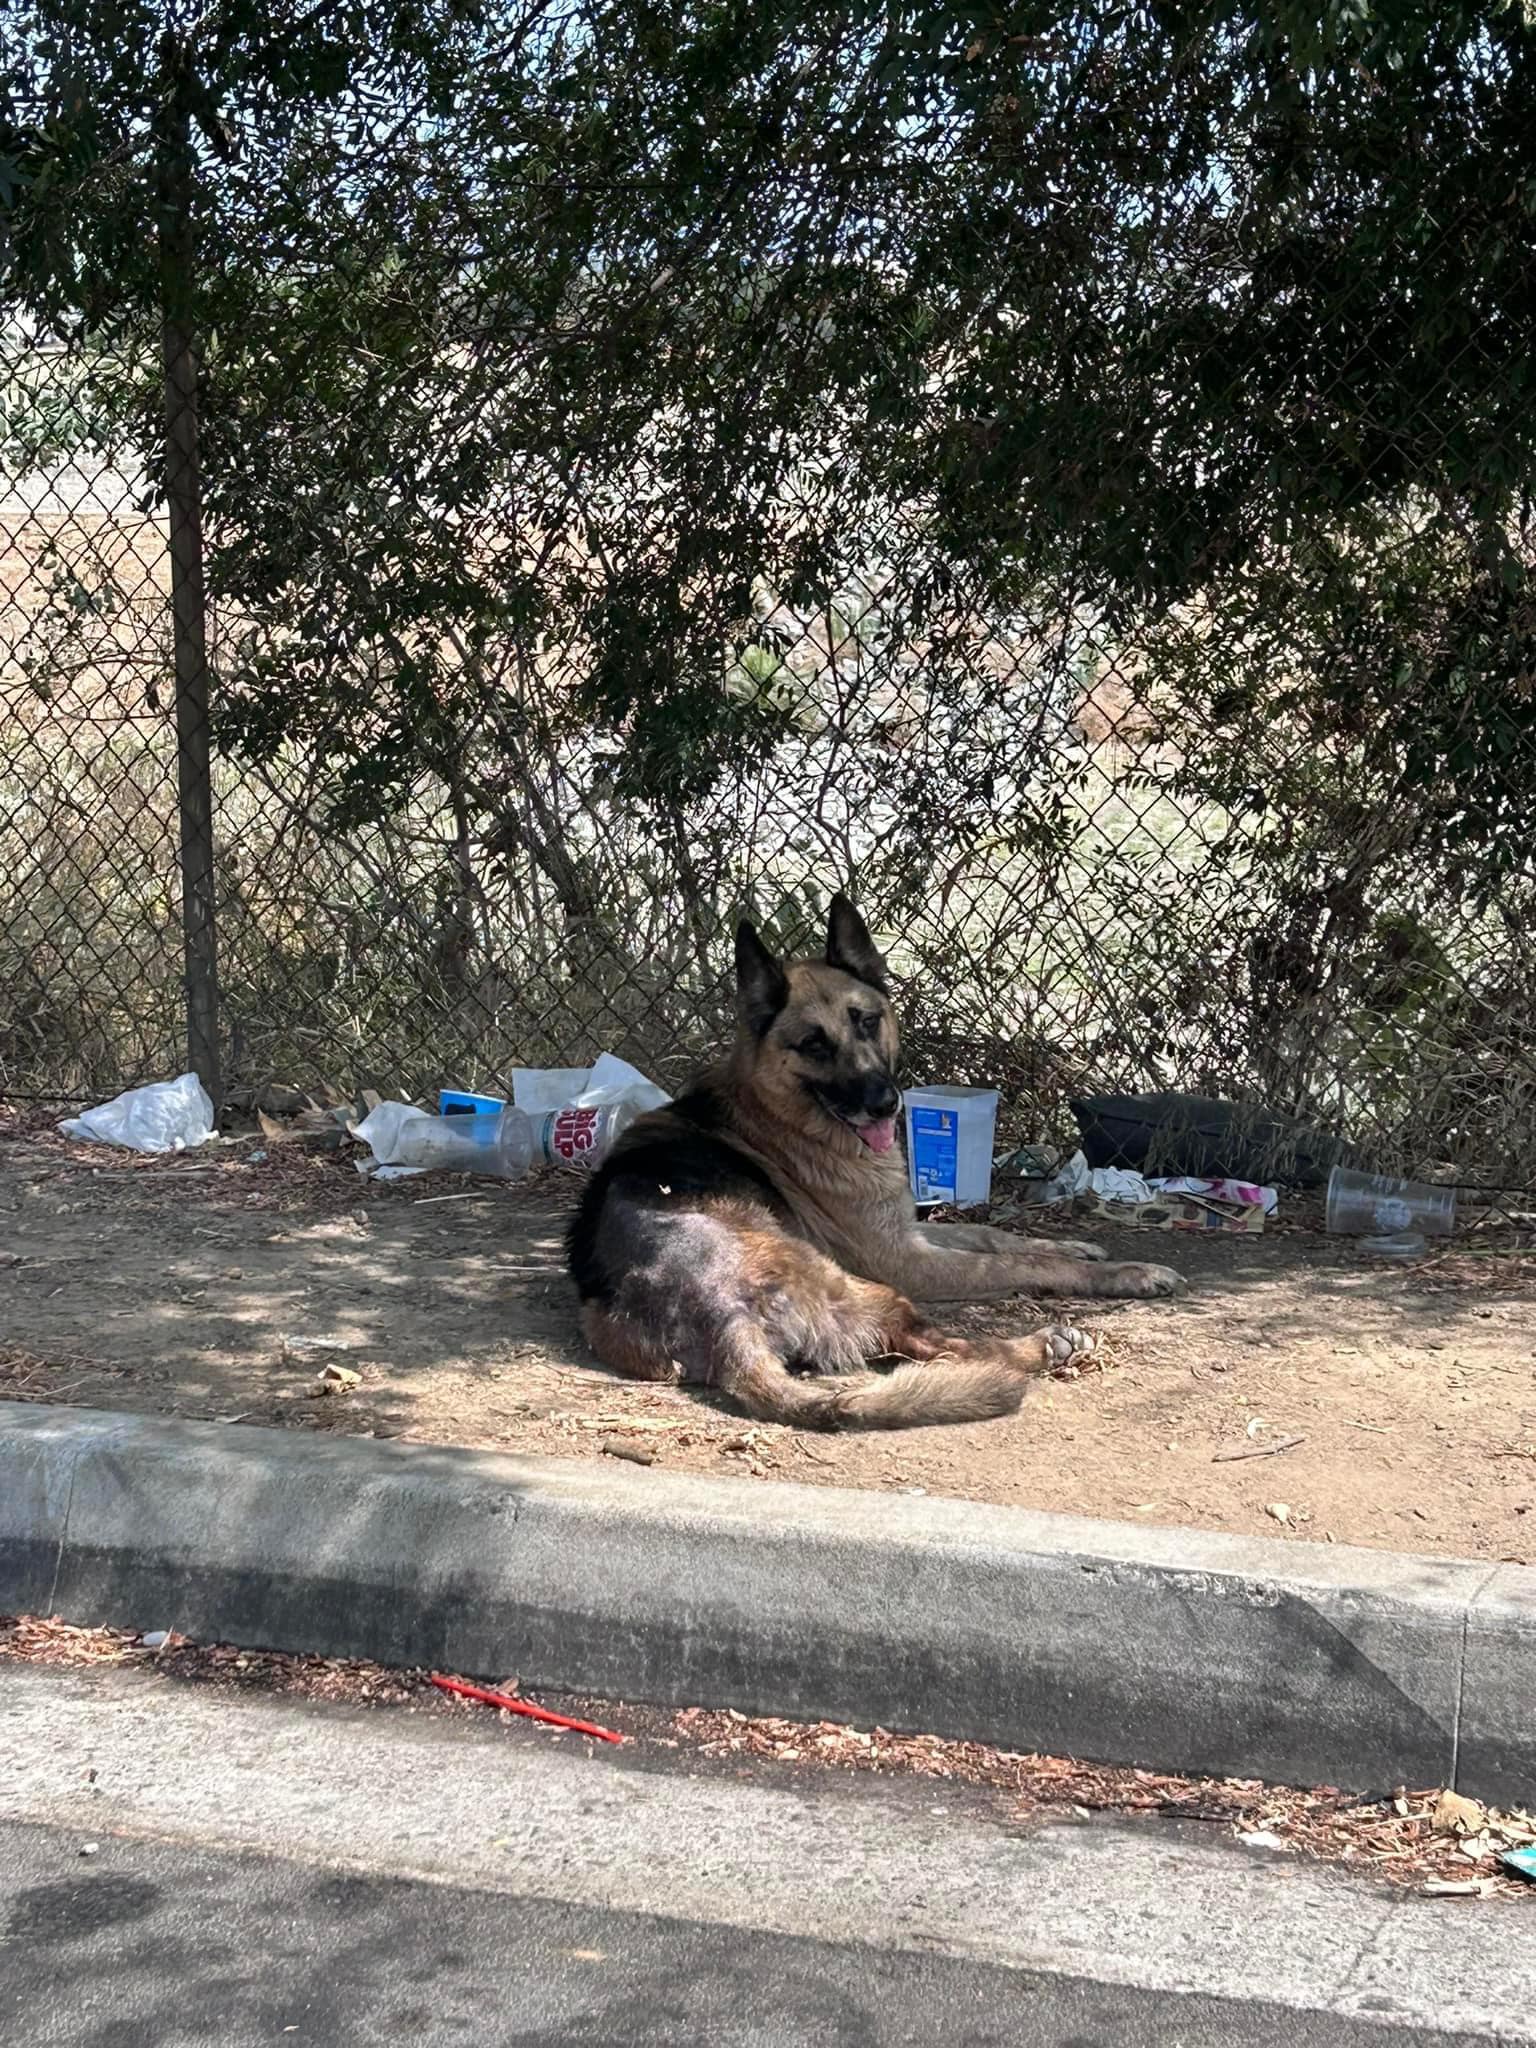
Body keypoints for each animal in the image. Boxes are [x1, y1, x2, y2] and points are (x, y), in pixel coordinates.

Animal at [565, 897, 1187, 1425]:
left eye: (866, 1020)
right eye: (814, 1044)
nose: (886, 1103)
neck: (781, 1112)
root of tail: (720, 1314)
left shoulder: (905, 1230)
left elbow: (996, 1236)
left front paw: (1074, 1244)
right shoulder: (902, 1260)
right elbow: (1022, 1265)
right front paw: (1123, 1273)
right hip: (877, 1290)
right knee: (949, 1347)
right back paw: (1043, 1344)